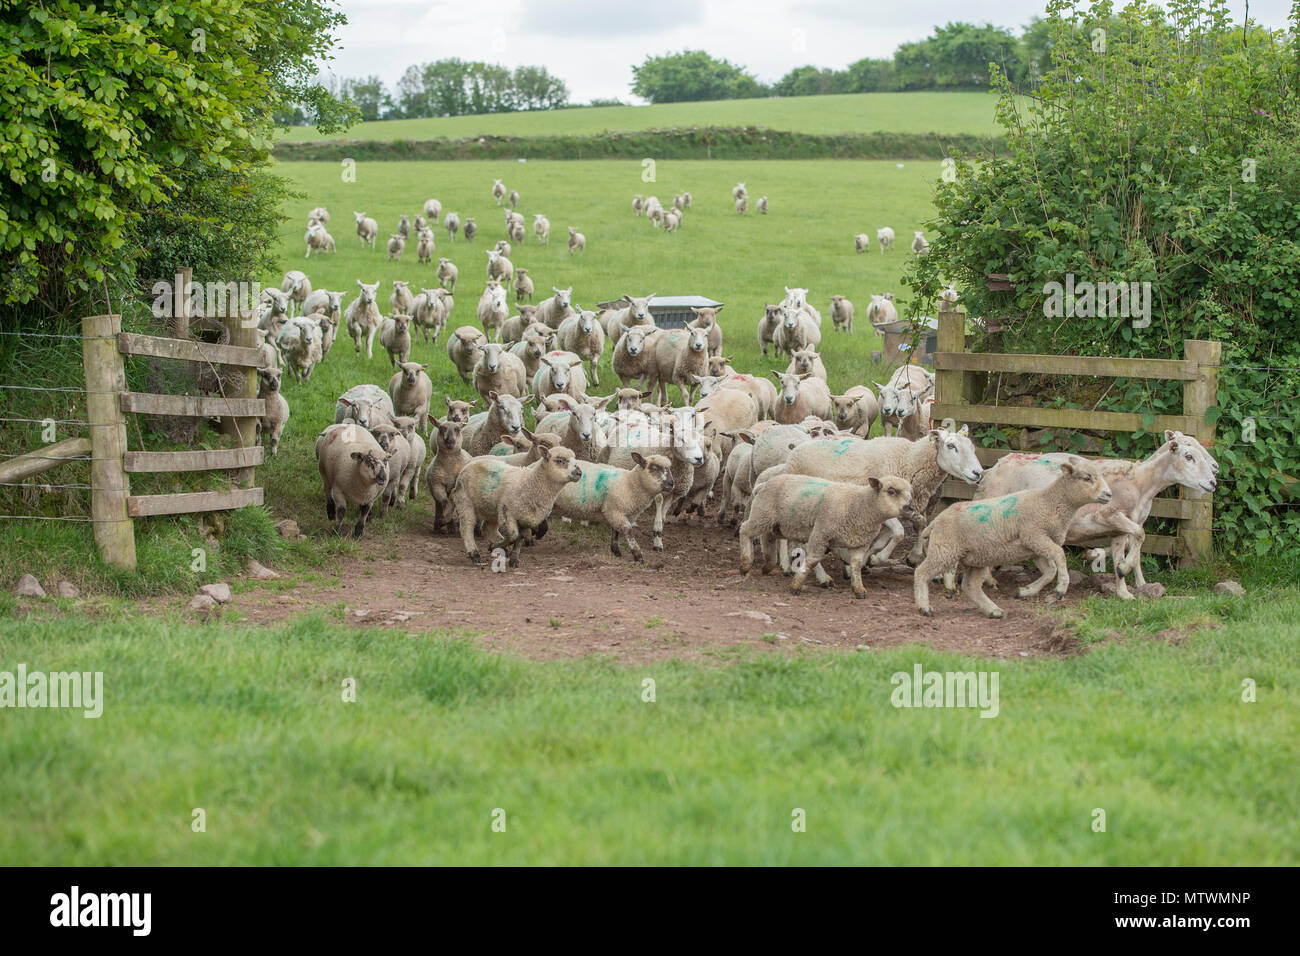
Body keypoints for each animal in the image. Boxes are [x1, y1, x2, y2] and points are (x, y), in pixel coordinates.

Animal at [785, 426, 984, 567]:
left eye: (973, 447)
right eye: (951, 446)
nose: (978, 473)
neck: (909, 459)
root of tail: (798, 448)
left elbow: (917, 525)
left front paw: (909, 557)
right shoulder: (880, 507)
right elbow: (899, 533)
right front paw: (877, 558)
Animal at [915, 458, 1113, 618]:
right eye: (1087, 477)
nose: (1109, 494)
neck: (1049, 503)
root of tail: (935, 522)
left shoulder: (1035, 547)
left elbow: (1050, 571)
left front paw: (1025, 591)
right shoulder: (1034, 535)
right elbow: (1059, 556)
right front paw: (1061, 588)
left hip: (975, 558)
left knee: (970, 586)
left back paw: (993, 610)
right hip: (944, 550)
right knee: (921, 572)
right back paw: (924, 607)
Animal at [968, 432, 1219, 600]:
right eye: (1189, 456)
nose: (1213, 481)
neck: (1139, 483)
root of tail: (990, 470)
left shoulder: (1119, 528)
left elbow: (1125, 551)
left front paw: (1124, 589)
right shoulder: (1107, 515)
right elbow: (1140, 536)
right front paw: (1124, 572)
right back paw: (989, 580)